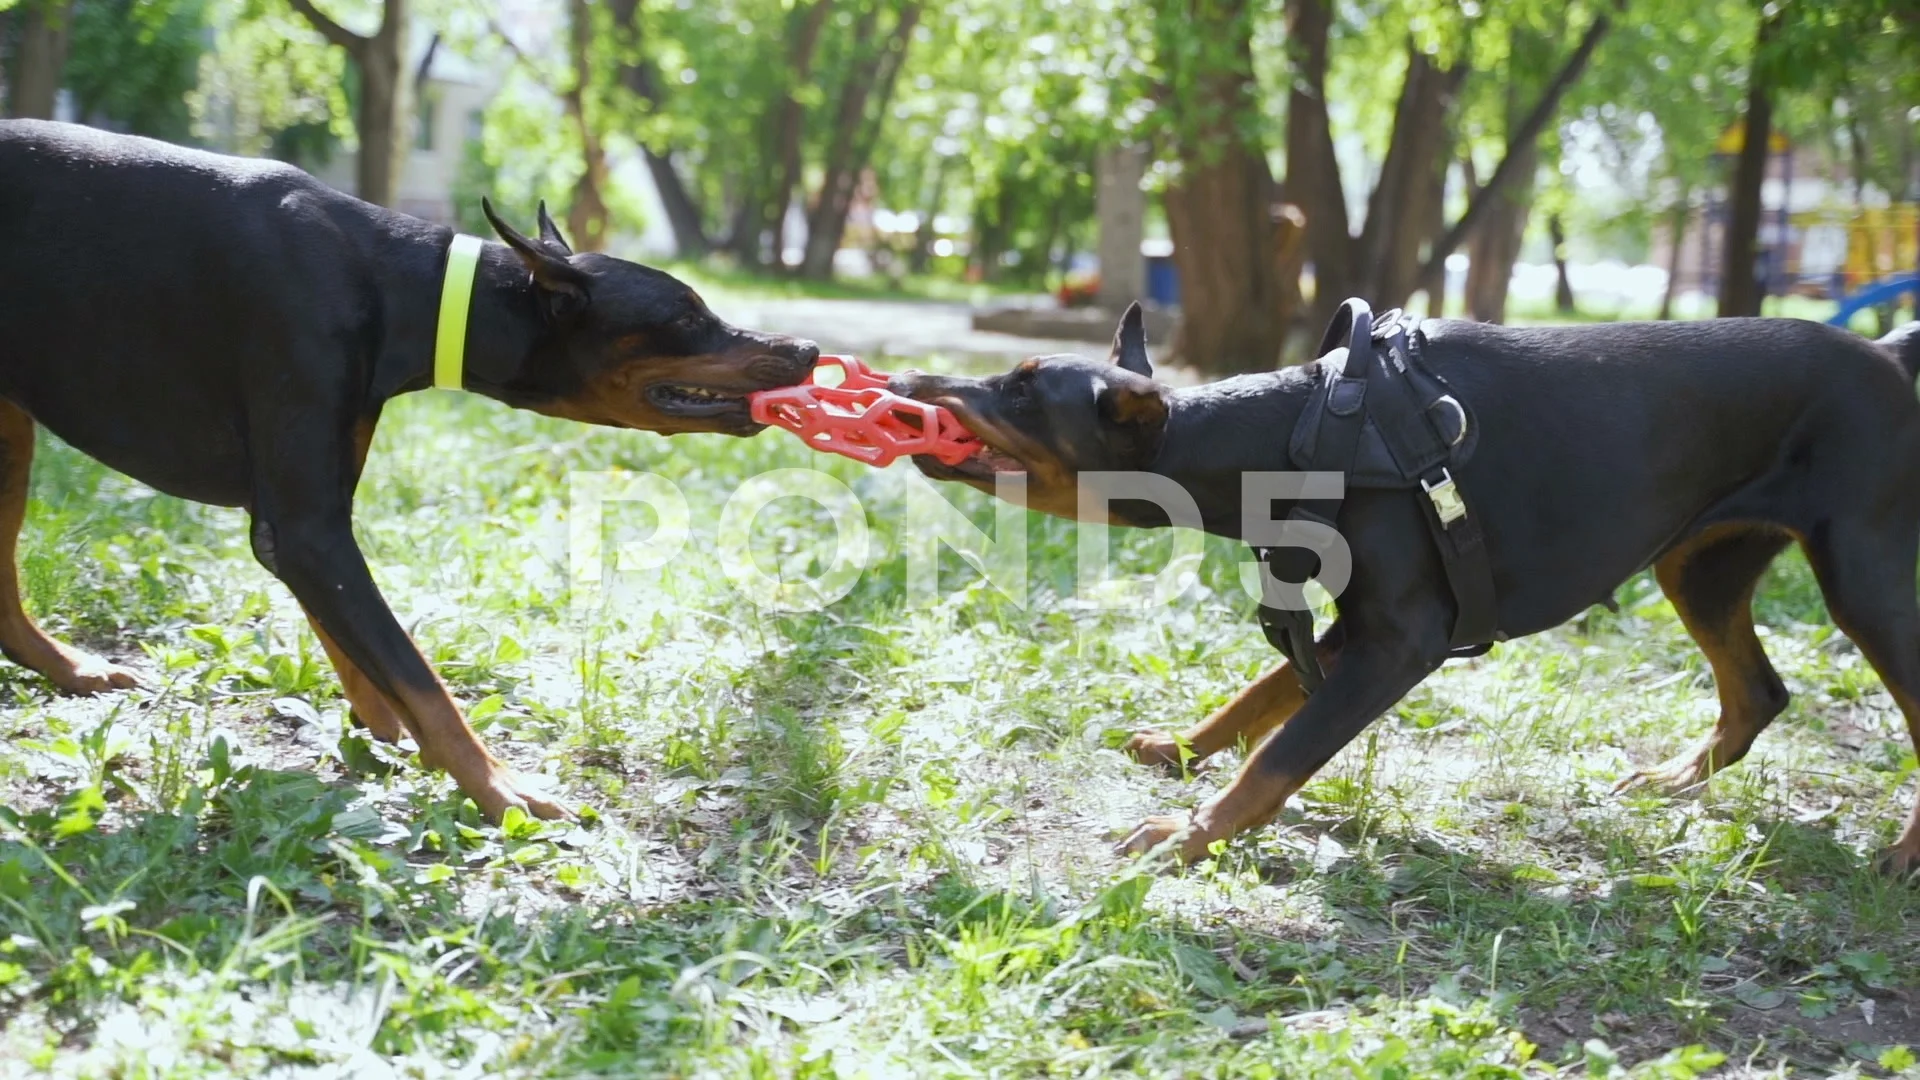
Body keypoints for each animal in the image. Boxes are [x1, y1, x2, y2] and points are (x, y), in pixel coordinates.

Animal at [0, 119, 817, 814]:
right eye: (686, 317)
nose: (806, 349)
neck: (400, 287)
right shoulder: (309, 523)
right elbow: (418, 674)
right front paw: (499, 785)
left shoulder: (307, 510)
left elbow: (357, 637)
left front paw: (385, 728)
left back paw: (70, 669)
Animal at [898, 297, 1920, 868]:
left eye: (1023, 390)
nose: (913, 378)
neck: (1310, 433)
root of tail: (1887, 356)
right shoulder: (1354, 623)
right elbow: (1260, 696)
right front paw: (1183, 750)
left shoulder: (1402, 639)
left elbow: (1282, 754)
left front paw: (1187, 835)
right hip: (1699, 562)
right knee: (1757, 691)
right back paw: (1669, 782)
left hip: (1868, 575)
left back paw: (1902, 855)